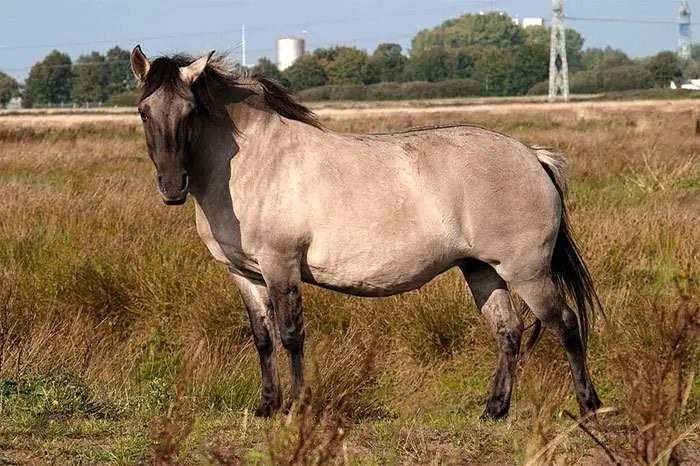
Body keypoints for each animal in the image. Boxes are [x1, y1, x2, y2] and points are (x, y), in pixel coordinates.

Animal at [129, 47, 600, 418]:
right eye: (144, 111)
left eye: (191, 111)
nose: (172, 187)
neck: (255, 162)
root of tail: (532, 155)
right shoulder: (244, 274)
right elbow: (263, 338)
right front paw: (266, 407)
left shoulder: (281, 266)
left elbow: (291, 335)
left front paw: (296, 407)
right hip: (482, 270)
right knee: (508, 332)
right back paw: (494, 410)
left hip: (527, 272)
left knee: (565, 325)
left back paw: (589, 406)